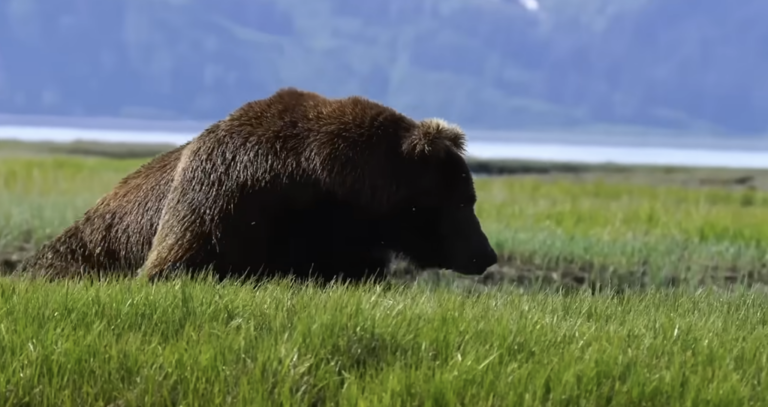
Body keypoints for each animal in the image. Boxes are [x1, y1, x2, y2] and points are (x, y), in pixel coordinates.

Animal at [17, 87, 498, 283]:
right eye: (465, 201)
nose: (486, 254)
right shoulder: (224, 193)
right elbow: (177, 263)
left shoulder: (344, 236)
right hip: (84, 248)